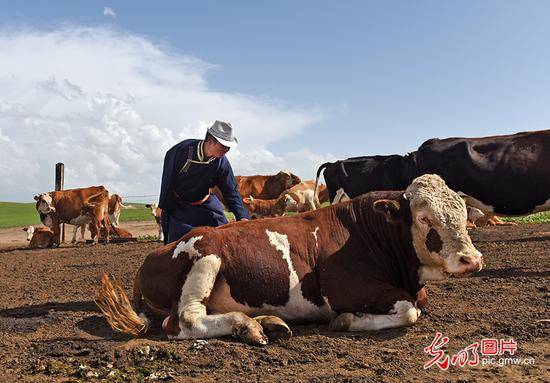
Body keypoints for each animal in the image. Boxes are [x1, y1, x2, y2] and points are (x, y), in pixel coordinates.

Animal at [96, 176, 484, 346]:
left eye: (463, 213)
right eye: (424, 218)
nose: (472, 259)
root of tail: (157, 251)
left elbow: (417, 303)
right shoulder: (341, 288)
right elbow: (408, 309)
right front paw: (345, 321)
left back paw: (267, 321)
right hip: (206, 253)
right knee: (184, 321)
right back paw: (245, 326)